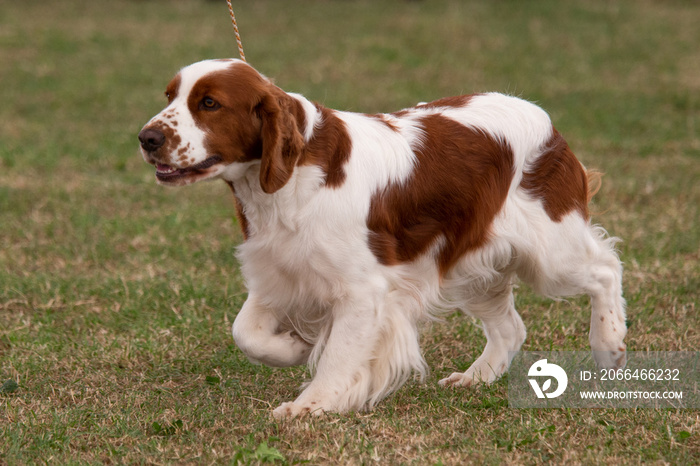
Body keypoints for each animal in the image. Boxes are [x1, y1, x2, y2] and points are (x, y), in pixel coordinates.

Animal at [139, 58, 628, 418]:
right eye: (169, 96)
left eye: (209, 103)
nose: (147, 138)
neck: (289, 180)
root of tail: (544, 120)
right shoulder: (281, 272)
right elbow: (246, 332)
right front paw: (295, 347)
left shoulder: (362, 291)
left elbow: (338, 355)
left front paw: (309, 406)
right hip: (471, 264)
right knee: (511, 327)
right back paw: (476, 376)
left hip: (550, 252)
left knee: (605, 269)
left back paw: (609, 346)